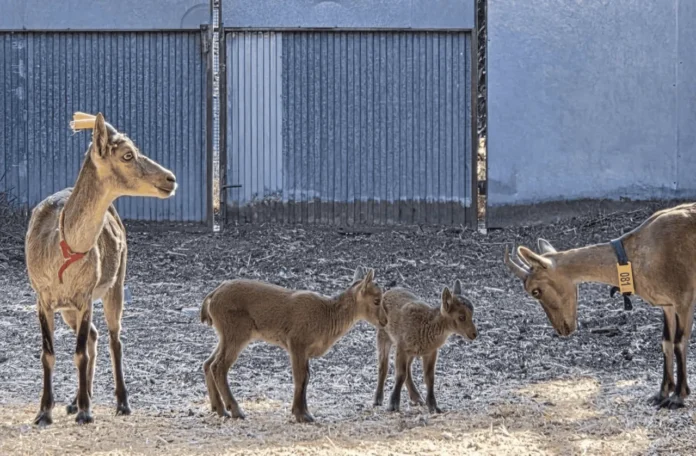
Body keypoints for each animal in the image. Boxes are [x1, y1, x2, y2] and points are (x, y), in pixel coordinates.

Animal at [25, 112, 177, 425]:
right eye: (127, 154)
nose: (170, 179)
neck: (62, 251)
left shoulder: (85, 294)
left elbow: (79, 352)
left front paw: (85, 412)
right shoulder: (41, 296)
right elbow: (48, 353)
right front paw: (44, 412)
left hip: (116, 284)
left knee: (113, 338)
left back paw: (120, 402)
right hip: (69, 309)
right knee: (94, 335)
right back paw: (75, 400)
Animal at [200, 267, 387, 423]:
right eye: (377, 300)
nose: (384, 321)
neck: (325, 317)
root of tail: (212, 296)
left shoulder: (305, 352)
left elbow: (307, 377)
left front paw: (304, 412)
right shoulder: (296, 343)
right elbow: (300, 377)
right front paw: (301, 415)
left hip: (225, 335)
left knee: (208, 363)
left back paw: (219, 409)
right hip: (237, 333)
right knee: (219, 366)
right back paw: (236, 411)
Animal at [373, 280, 477, 413]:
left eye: (472, 314)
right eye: (461, 317)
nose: (474, 334)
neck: (426, 325)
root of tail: (387, 293)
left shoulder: (431, 352)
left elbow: (429, 377)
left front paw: (434, 406)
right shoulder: (402, 347)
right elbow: (400, 374)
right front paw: (393, 405)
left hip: (412, 352)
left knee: (408, 369)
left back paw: (417, 398)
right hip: (383, 335)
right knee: (383, 366)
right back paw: (378, 399)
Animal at [504, 203, 696, 409]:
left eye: (535, 291)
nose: (563, 329)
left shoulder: (684, 298)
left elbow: (679, 342)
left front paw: (678, 396)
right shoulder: (667, 305)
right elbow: (666, 342)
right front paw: (661, 394)